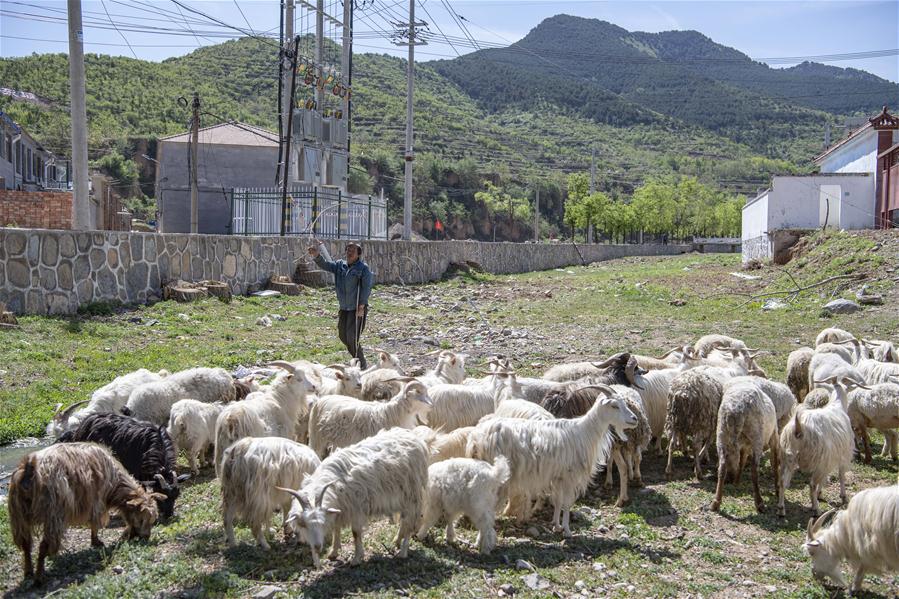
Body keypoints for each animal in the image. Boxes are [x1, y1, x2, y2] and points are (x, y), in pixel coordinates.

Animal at [8, 442, 163, 584]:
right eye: (142, 519)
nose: (146, 537)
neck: (115, 483)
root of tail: (30, 466)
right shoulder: (97, 502)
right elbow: (95, 524)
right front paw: (96, 542)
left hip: (19, 516)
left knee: (26, 544)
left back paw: (29, 571)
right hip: (53, 514)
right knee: (43, 545)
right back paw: (39, 577)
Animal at [280, 426, 430, 568]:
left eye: (322, 523)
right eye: (304, 525)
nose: (317, 547)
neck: (333, 484)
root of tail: (414, 438)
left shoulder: (356, 508)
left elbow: (355, 533)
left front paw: (357, 559)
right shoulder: (340, 508)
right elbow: (336, 529)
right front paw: (333, 551)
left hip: (412, 494)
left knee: (409, 523)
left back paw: (403, 552)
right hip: (403, 497)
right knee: (404, 521)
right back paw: (397, 540)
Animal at [468, 386, 636, 536]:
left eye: (625, 404)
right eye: (614, 405)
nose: (634, 419)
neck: (584, 432)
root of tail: (476, 438)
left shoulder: (558, 476)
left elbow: (558, 501)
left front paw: (556, 525)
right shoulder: (570, 475)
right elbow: (566, 503)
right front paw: (567, 531)